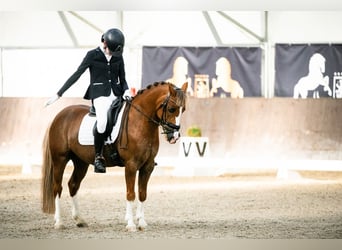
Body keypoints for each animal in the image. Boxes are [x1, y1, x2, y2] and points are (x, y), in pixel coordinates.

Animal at [42, 81, 190, 230]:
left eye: (183, 110)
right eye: (171, 109)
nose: (174, 137)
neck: (139, 122)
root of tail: (60, 115)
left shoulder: (147, 166)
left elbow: (142, 194)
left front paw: (142, 223)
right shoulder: (131, 165)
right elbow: (130, 193)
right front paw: (131, 224)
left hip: (81, 162)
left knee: (73, 185)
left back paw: (79, 220)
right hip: (60, 159)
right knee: (57, 187)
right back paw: (59, 222)